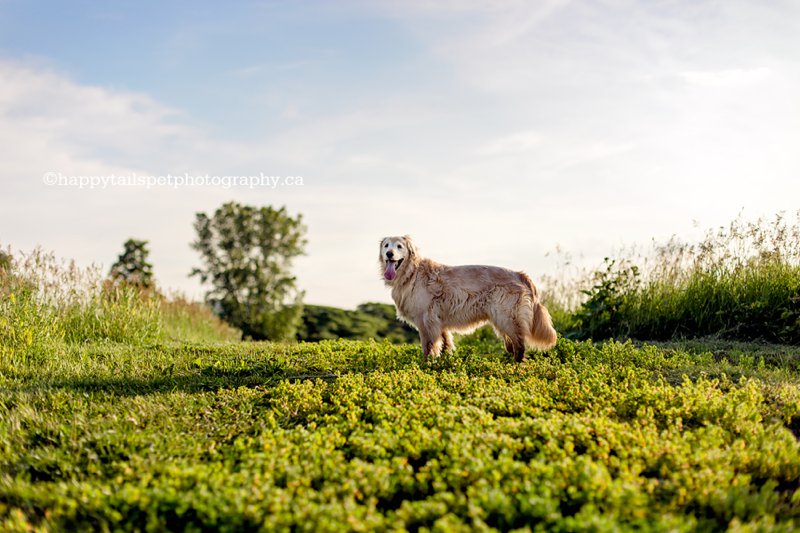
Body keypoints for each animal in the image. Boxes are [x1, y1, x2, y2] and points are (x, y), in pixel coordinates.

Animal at [380, 234, 556, 362]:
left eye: (399, 246)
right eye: (386, 245)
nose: (389, 254)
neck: (411, 272)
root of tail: (520, 274)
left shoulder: (426, 321)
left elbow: (428, 347)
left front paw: (425, 366)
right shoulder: (438, 322)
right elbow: (445, 345)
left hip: (507, 318)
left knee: (519, 347)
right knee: (513, 347)